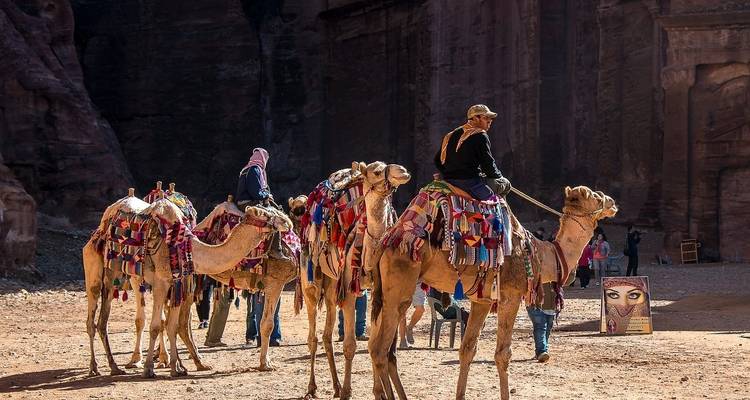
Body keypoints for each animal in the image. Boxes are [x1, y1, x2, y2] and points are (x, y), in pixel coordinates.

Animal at [83, 193, 292, 377]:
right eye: (267, 215)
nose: (287, 222)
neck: (187, 245)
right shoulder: (161, 282)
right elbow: (157, 325)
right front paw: (149, 369)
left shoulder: (176, 284)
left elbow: (172, 325)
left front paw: (177, 368)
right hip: (94, 266)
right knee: (92, 319)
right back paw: (95, 368)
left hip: (115, 276)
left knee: (103, 321)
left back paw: (114, 367)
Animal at [300, 161, 411, 399]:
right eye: (376, 171)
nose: (403, 171)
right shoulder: (350, 293)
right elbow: (350, 345)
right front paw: (348, 392)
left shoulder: (376, 292)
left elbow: (371, 345)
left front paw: (377, 392)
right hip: (310, 281)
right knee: (313, 336)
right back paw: (313, 387)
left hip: (332, 286)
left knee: (326, 334)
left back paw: (335, 386)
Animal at [368, 186, 618, 400]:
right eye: (595, 196)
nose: (612, 202)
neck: (540, 254)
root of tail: (385, 243)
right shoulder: (510, 296)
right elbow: (502, 354)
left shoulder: (482, 301)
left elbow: (467, 349)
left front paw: (461, 395)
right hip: (399, 288)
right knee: (380, 350)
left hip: (385, 295)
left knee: (379, 348)